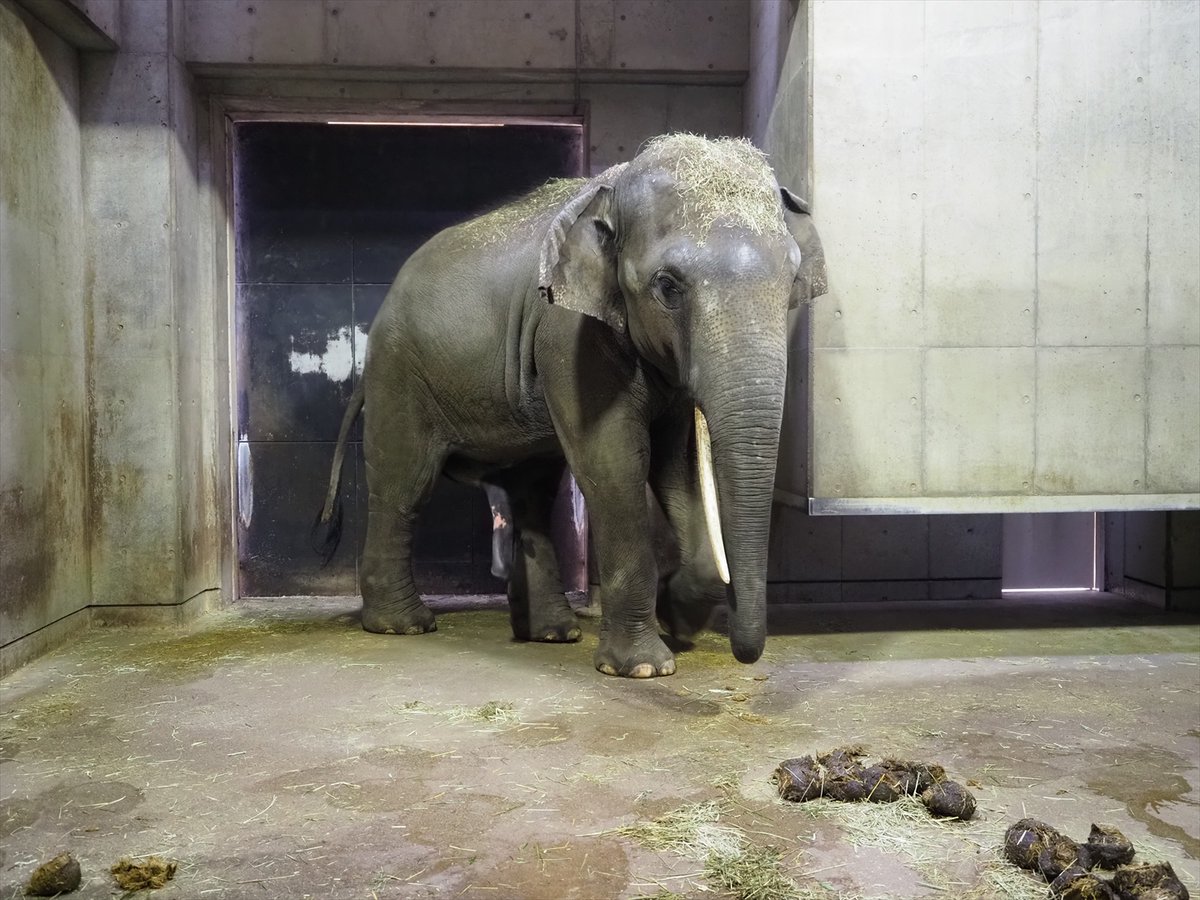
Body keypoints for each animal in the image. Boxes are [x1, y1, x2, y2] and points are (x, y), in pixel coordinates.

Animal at [316, 133, 827, 677]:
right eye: (667, 286)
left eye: (793, 280)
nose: (745, 652)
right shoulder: (568, 334)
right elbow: (613, 464)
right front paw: (643, 668)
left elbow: (678, 464)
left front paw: (678, 618)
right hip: (399, 372)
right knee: (404, 485)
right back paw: (403, 625)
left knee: (532, 493)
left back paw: (551, 634)